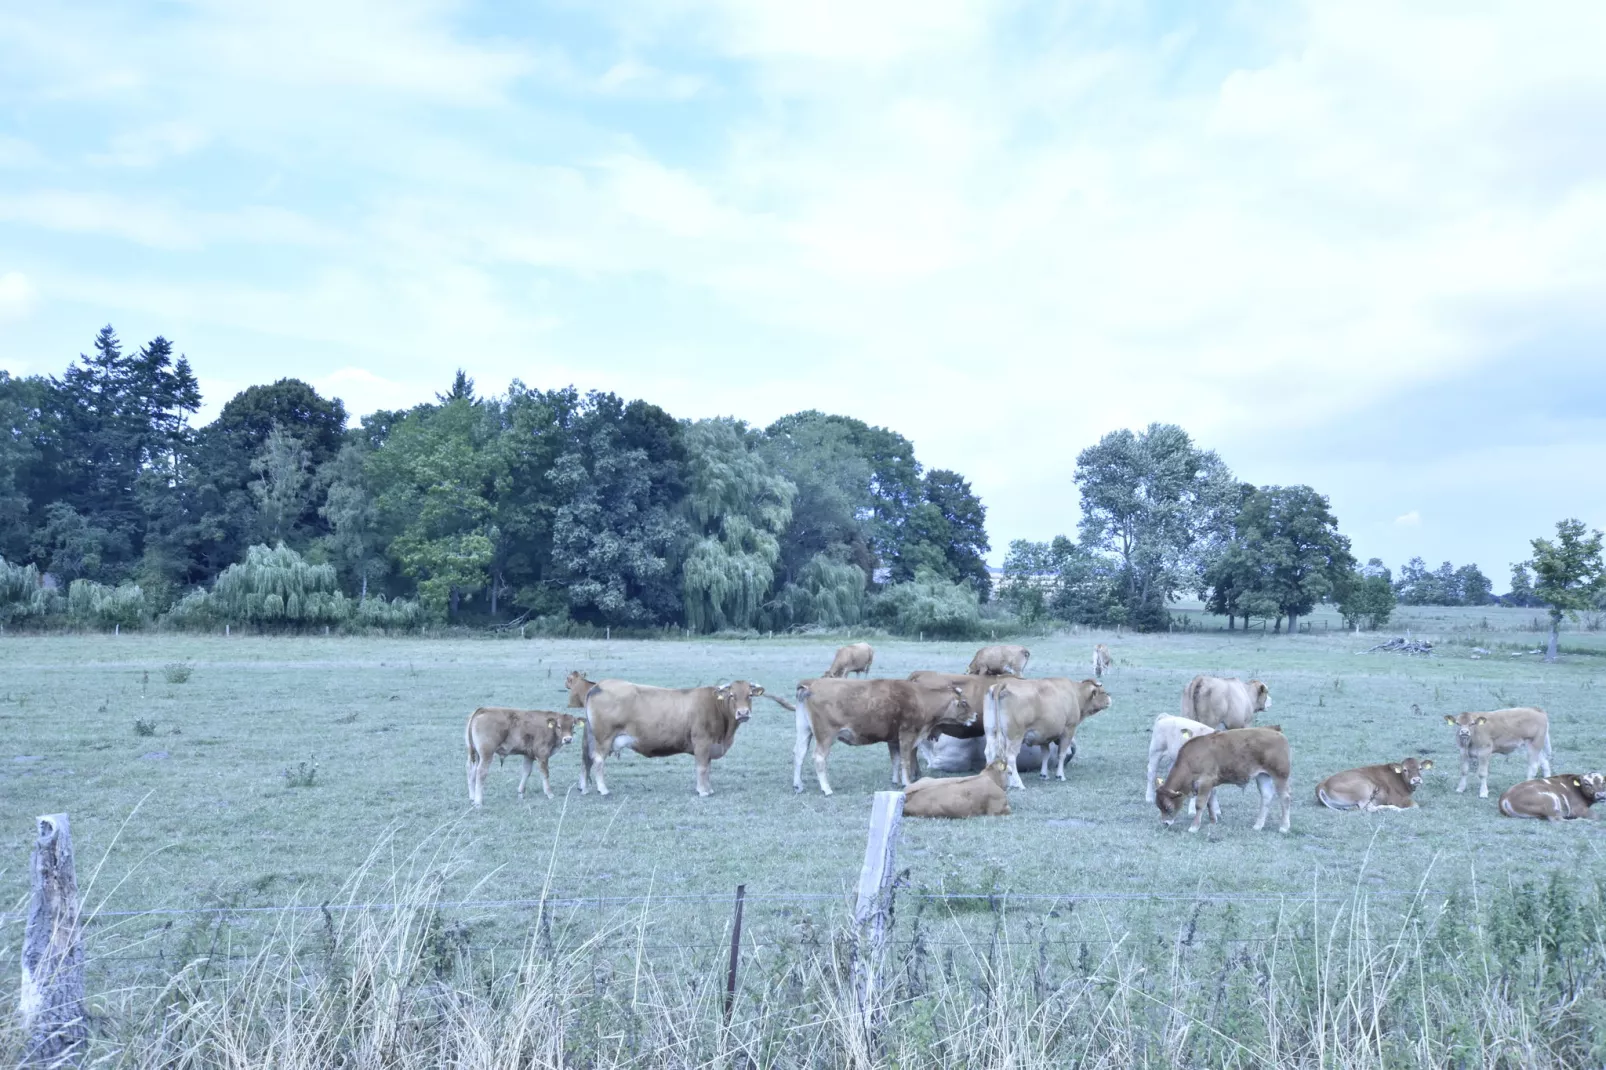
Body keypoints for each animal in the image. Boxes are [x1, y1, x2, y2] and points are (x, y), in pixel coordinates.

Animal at [587, 677, 793, 796]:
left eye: (750, 695)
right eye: (732, 695)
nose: (743, 713)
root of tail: (600, 685)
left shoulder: (710, 746)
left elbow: (707, 768)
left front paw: (708, 788)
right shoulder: (702, 742)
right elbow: (701, 768)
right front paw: (702, 791)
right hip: (604, 738)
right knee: (598, 761)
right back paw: (603, 789)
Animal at [793, 674, 970, 790]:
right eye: (963, 703)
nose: (974, 715)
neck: (921, 698)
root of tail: (811, 684)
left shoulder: (893, 740)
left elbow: (896, 760)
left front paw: (895, 781)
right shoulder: (907, 735)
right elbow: (905, 760)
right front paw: (906, 782)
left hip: (804, 730)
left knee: (799, 753)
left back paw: (798, 784)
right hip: (826, 736)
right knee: (819, 757)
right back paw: (826, 788)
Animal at [982, 674, 1111, 784]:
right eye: (1103, 692)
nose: (1110, 697)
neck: (1075, 693)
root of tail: (1001, 685)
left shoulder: (1044, 736)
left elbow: (1045, 754)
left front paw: (1044, 774)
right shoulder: (1069, 729)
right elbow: (1062, 754)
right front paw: (1060, 775)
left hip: (991, 732)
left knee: (989, 752)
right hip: (1015, 736)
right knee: (1011, 757)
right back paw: (1018, 783)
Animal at [1156, 726, 1291, 835]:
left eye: (1168, 807)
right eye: (1159, 806)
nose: (1165, 823)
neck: (1190, 760)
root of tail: (1277, 733)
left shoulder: (1205, 781)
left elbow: (1200, 804)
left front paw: (1194, 827)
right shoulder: (1209, 784)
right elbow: (1209, 802)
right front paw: (1213, 821)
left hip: (1280, 775)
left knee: (1285, 798)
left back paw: (1284, 827)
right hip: (1263, 776)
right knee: (1266, 796)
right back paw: (1258, 825)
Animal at [1310, 758, 1438, 809]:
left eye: (1420, 768)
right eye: (1405, 769)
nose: (1416, 780)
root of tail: (1321, 785)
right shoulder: (1398, 799)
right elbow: (1415, 805)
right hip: (1364, 787)